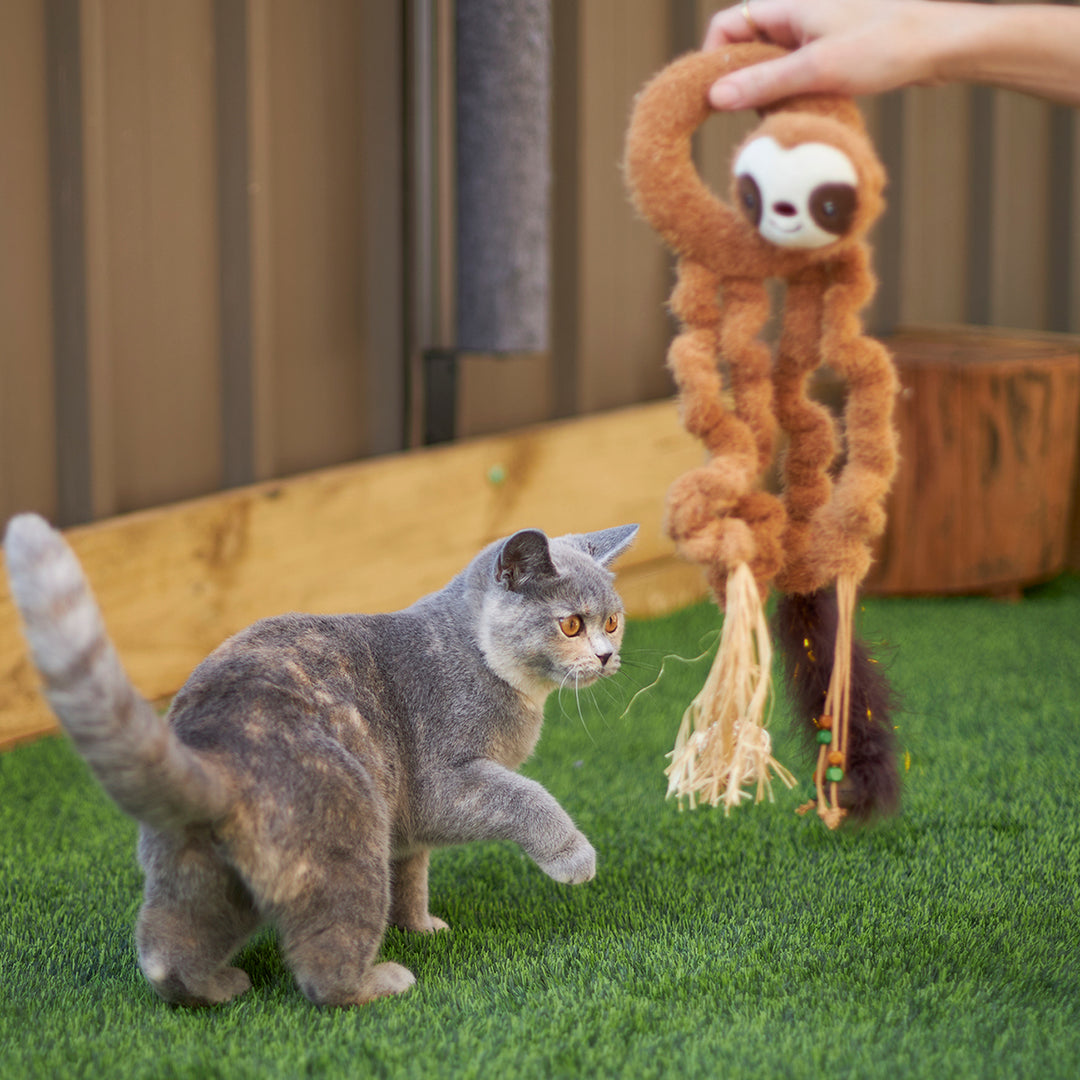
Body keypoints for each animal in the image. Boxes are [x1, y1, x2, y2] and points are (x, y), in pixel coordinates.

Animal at [4, 514, 635, 1002]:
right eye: (571, 624)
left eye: (613, 620)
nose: (607, 656)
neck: (479, 656)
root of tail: (214, 752)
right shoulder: (444, 783)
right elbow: (527, 796)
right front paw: (575, 860)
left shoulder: (408, 828)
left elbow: (413, 874)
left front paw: (422, 925)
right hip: (350, 836)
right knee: (324, 974)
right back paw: (381, 981)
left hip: (199, 873)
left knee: (166, 954)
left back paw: (217, 988)